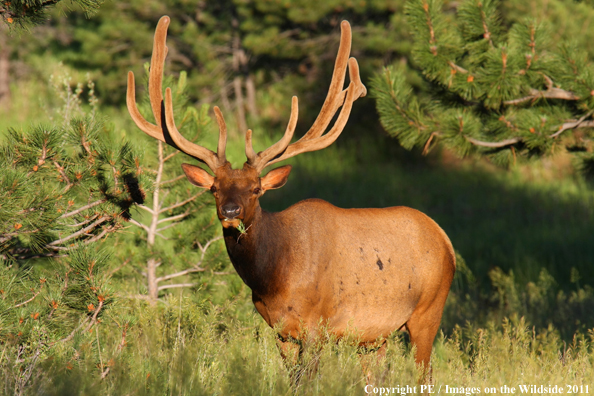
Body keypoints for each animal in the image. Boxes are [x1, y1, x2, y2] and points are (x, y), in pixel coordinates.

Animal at [127, 14, 456, 374]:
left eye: (256, 189)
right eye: (214, 188)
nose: (231, 212)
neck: (274, 279)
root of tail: (445, 239)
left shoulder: (317, 325)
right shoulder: (280, 331)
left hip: (428, 310)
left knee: (424, 371)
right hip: (375, 336)